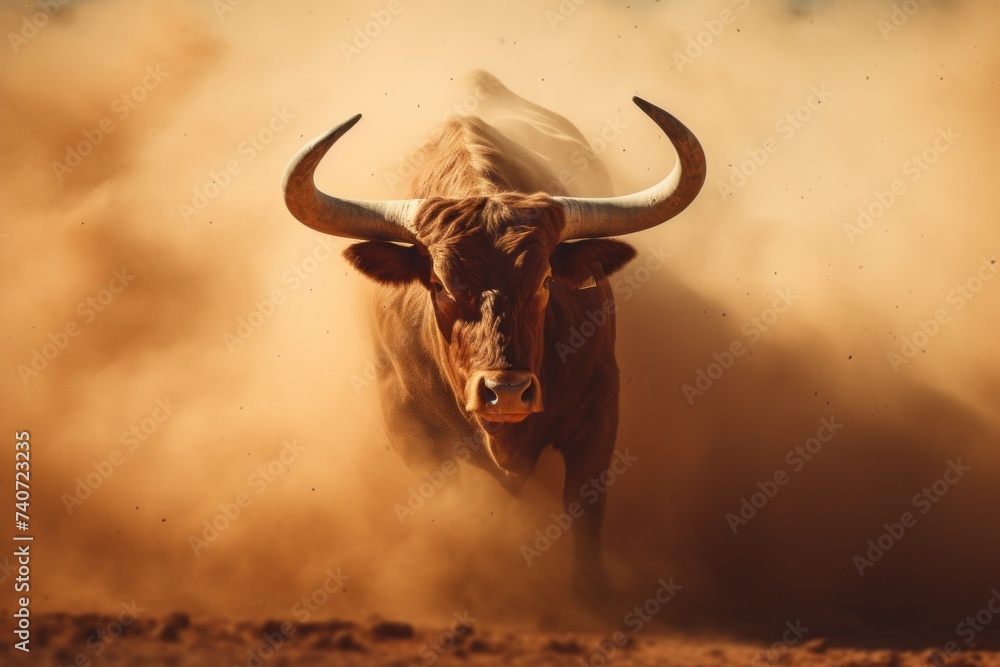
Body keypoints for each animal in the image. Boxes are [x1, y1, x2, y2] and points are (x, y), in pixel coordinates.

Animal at [280, 74, 704, 600]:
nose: (506, 392)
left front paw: (593, 595)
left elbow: (585, 508)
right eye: (438, 284)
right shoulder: (411, 429)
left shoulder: (601, 406)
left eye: (545, 280)